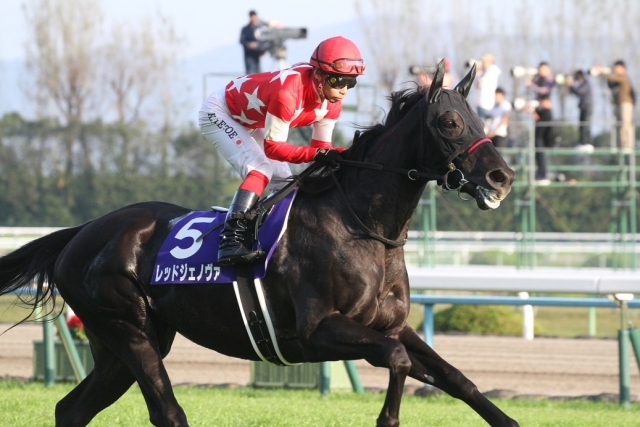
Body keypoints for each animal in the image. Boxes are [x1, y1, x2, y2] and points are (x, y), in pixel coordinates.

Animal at [0, 61, 517, 427]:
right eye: (449, 122)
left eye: (478, 117)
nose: (503, 177)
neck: (363, 227)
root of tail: (82, 232)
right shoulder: (316, 330)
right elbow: (397, 359)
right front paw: (387, 419)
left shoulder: (391, 325)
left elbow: (454, 377)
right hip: (128, 328)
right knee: (167, 412)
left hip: (120, 343)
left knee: (71, 409)